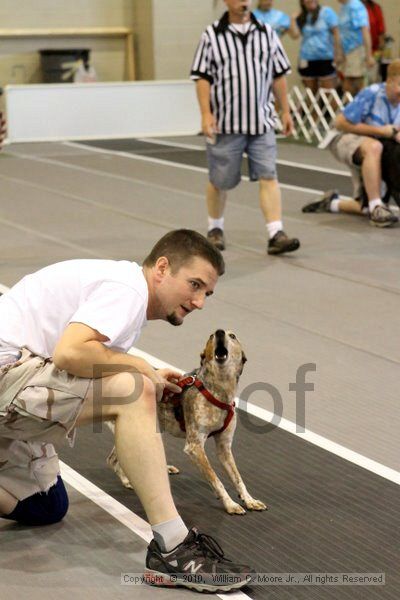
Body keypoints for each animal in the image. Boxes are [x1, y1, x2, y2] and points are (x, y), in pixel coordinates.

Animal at [108, 330, 268, 512]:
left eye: (233, 336)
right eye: (211, 336)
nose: (219, 332)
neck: (219, 391)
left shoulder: (224, 448)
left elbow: (237, 478)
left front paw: (249, 500)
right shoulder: (194, 447)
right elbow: (216, 480)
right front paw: (230, 504)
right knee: (114, 459)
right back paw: (128, 480)